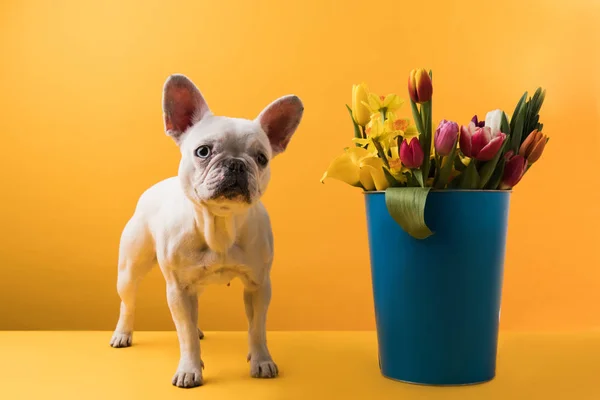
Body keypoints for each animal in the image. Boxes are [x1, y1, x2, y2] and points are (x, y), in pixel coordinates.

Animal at [109, 75, 304, 388]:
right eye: (203, 151)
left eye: (262, 158)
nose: (236, 163)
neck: (220, 224)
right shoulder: (177, 289)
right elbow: (185, 334)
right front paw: (190, 369)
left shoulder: (259, 285)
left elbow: (257, 327)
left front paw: (261, 360)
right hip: (129, 271)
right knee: (129, 303)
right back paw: (122, 334)